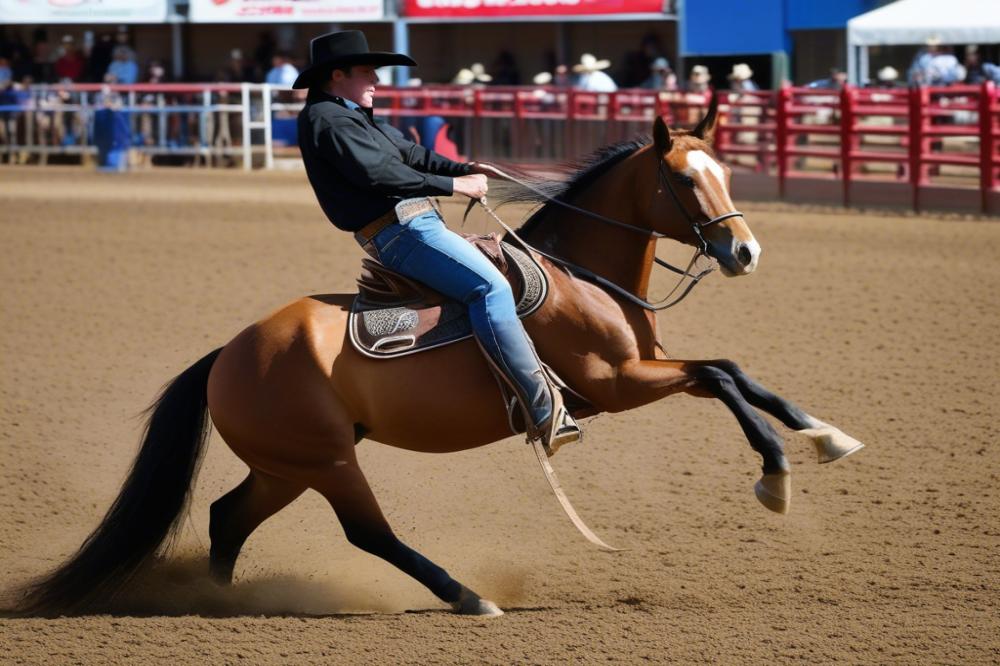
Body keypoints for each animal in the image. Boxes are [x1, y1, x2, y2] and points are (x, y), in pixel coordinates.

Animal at [15, 98, 864, 616]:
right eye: (684, 178)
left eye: (723, 170)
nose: (744, 252)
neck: (579, 276)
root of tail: (229, 352)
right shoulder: (616, 385)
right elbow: (721, 375)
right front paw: (775, 476)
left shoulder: (641, 375)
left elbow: (735, 371)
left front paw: (827, 436)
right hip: (327, 463)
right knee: (369, 535)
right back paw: (467, 597)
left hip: (286, 467)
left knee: (228, 518)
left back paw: (220, 601)